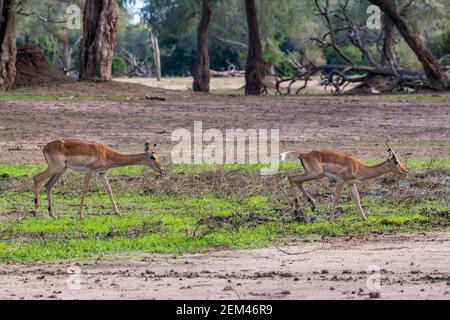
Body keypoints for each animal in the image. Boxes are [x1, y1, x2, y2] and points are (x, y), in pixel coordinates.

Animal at [33, 139, 166, 219]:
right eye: (153, 157)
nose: (163, 169)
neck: (106, 153)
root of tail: (45, 147)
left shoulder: (102, 173)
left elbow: (109, 190)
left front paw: (118, 213)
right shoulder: (89, 170)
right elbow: (85, 190)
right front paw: (80, 215)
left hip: (61, 170)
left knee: (48, 186)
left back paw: (53, 214)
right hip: (55, 169)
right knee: (36, 178)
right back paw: (36, 210)